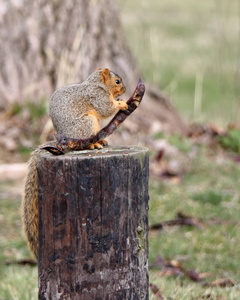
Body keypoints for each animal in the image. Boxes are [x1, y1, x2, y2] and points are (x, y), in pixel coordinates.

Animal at [22, 67, 127, 258]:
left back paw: (100, 141)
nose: (124, 90)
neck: (97, 84)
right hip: (87, 123)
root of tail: (64, 143)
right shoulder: (96, 97)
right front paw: (121, 104)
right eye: (117, 81)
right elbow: (106, 108)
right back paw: (94, 144)